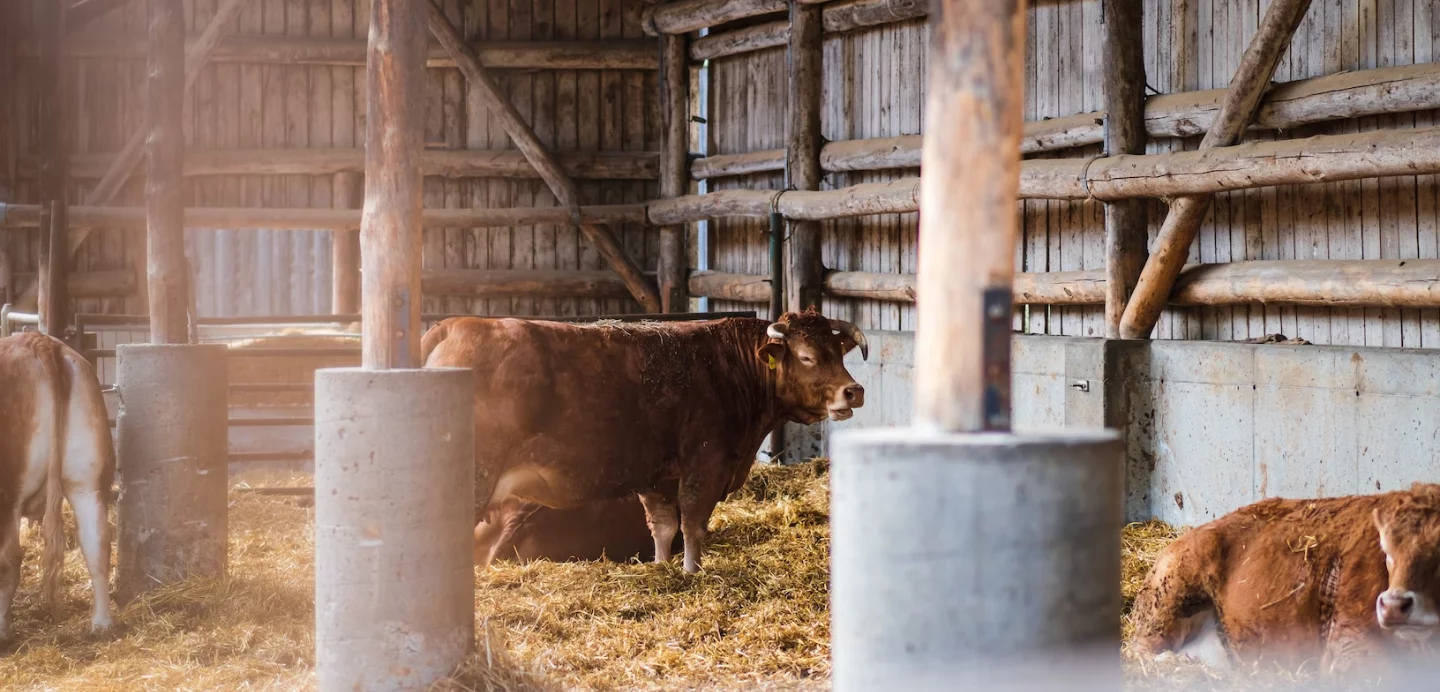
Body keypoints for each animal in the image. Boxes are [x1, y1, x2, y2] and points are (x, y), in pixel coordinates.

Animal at [0, 333, 115, 640]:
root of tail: (38, 341)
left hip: (9, 491)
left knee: (9, 558)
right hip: (85, 478)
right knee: (97, 541)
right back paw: (102, 623)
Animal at [423, 309, 866, 574]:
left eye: (839, 351)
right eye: (807, 356)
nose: (854, 391)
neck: (729, 367)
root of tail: (460, 323)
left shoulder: (656, 477)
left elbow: (664, 527)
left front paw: (662, 568)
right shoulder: (705, 463)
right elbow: (693, 524)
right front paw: (691, 572)